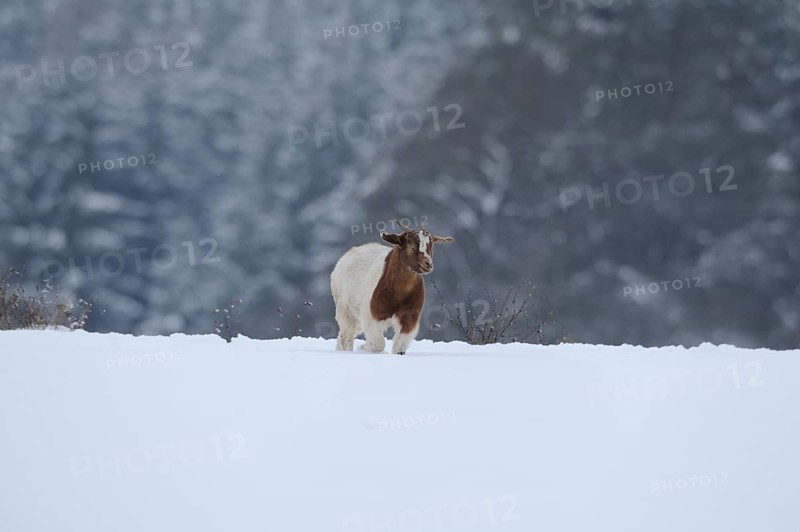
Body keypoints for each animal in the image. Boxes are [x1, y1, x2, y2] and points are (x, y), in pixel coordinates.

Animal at [330, 223, 454, 354]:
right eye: (411, 247)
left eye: (431, 247)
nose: (428, 264)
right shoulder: (371, 313)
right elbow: (378, 343)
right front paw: (363, 348)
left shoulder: (410, 315)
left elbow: (400, 344)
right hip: (345, 307)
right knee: (347, 332)